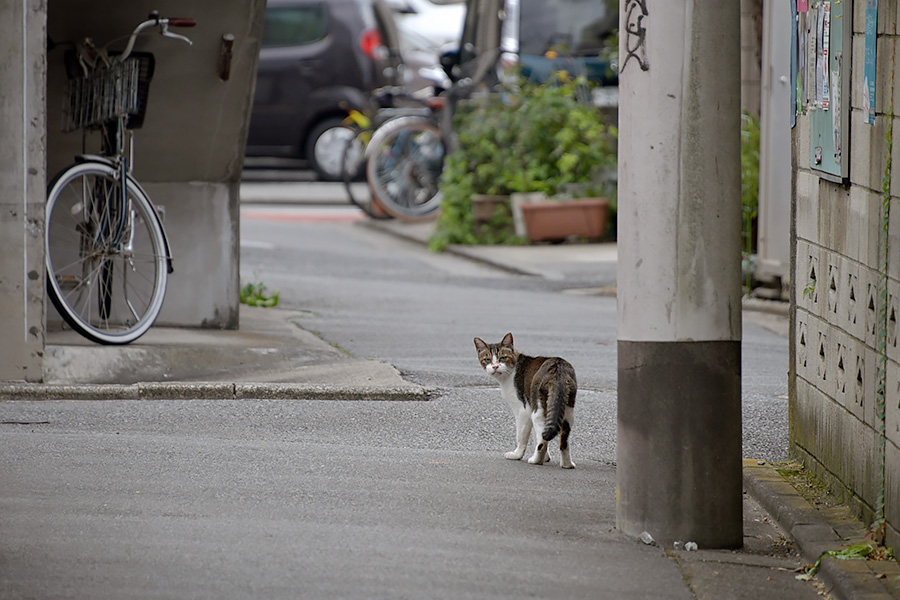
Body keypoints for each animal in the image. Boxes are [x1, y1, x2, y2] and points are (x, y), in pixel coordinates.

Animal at [474, 332, 572, 468]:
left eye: (502, 358)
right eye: (487, 359)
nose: (495, 366)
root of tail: (558, 366)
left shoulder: (523, 411)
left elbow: (521, 436)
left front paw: (517, 455)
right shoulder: (531, 408)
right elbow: (536, 436)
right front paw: (546, 457)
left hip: (539, 409)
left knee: (542, 441)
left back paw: (536, 460)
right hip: (566, 410)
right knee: (563, 441)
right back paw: (567, 464)